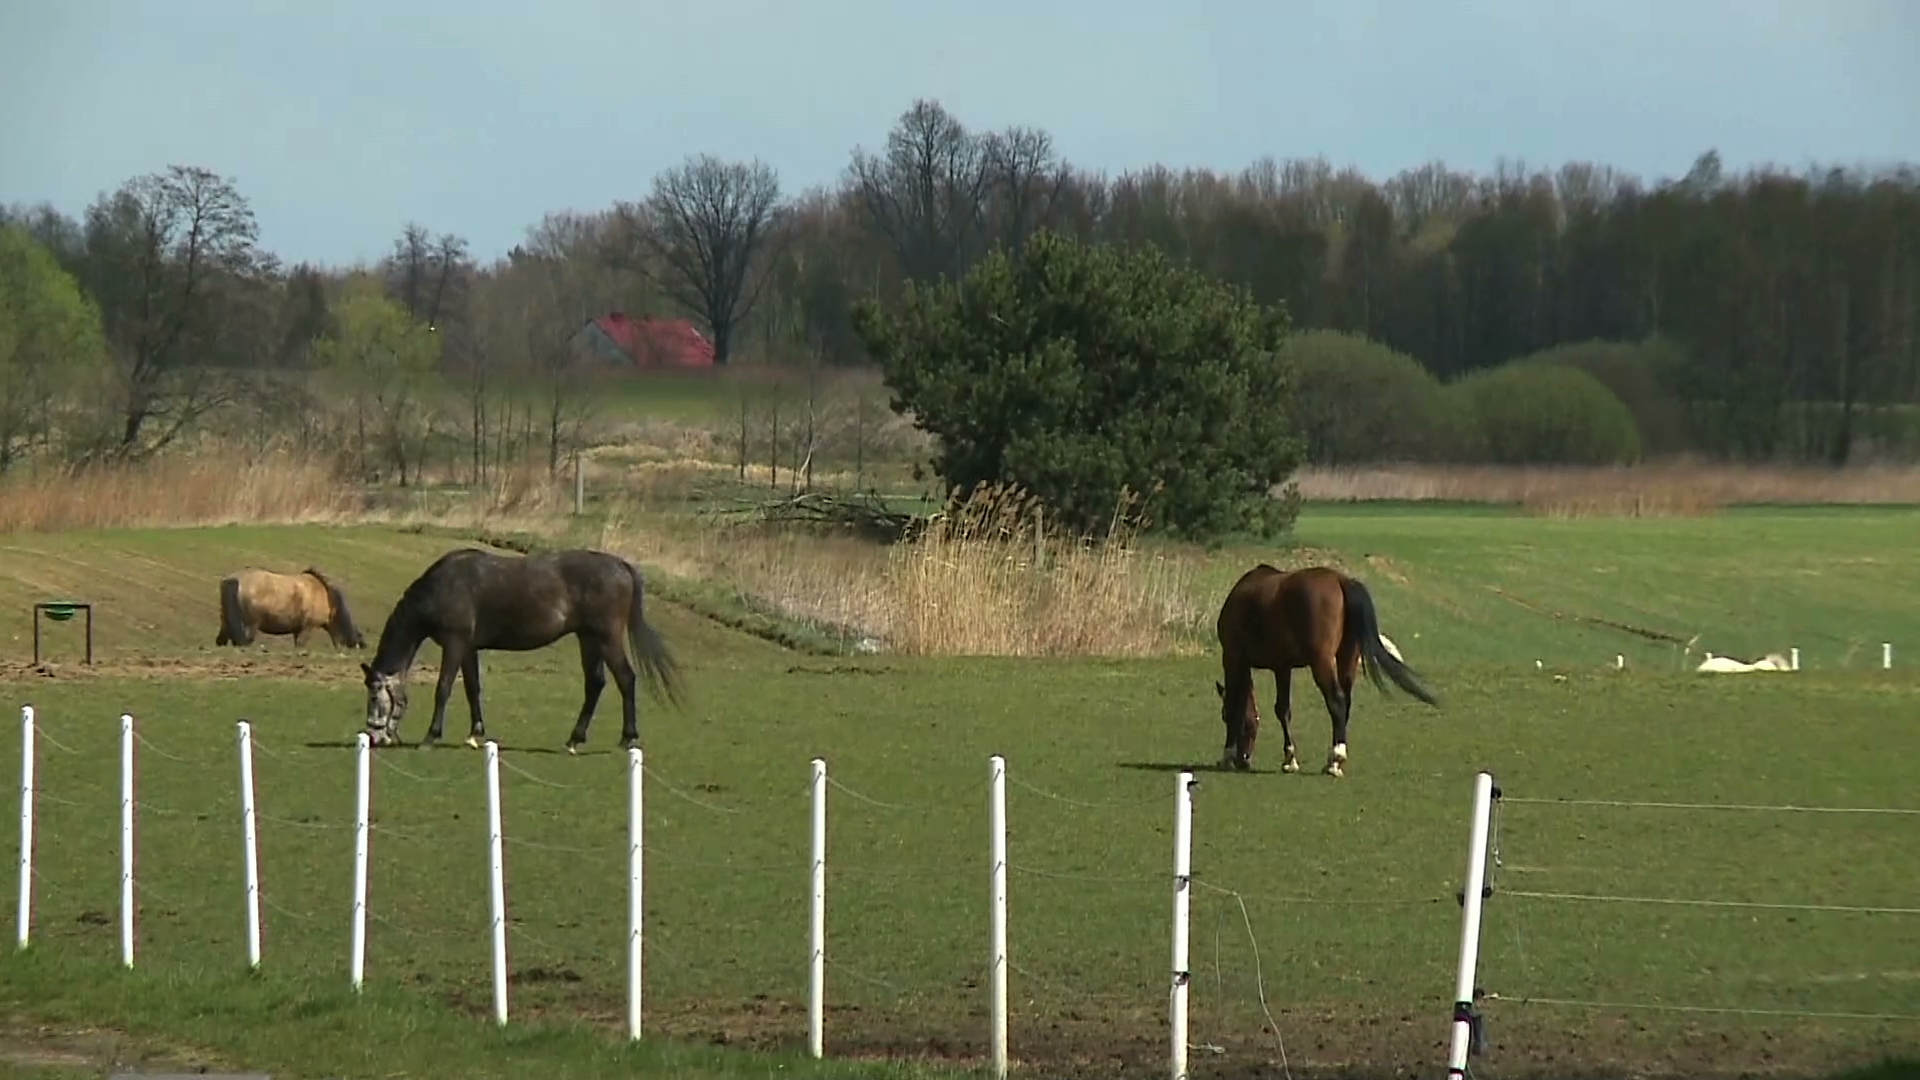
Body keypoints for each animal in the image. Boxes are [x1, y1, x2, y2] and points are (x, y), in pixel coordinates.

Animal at [216, 564, 366, 645]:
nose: (361, 644)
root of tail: (232, 581)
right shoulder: (306, 628)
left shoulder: (297, 630)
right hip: (249, 628)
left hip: (227, 624)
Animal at [362, 545, 687, 749]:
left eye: (375, 696)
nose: (375, 736)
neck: (444, 587)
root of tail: (622, 566)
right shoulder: (468, 647)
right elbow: (472, 688)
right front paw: (475, 734)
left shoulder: (455, 644)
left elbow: (443, 688)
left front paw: (431, 737)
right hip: (589, 639)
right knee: (595, 684)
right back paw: (574, 739)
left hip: (606, 639)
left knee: (626, 679)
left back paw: (627, 737)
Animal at [1205, 564, 1436, 772]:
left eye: (1222, 716)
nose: (1244, 759)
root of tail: (1342, 581)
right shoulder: (1282, 667)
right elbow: (1282, 710)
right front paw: (1289, 759)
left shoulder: (1234, 658)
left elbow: (1236, 706)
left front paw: (1227, 756)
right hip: (1346, 658)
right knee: (1346, 703)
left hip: (1321, 662)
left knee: (1337, 701)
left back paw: (1336, 758)